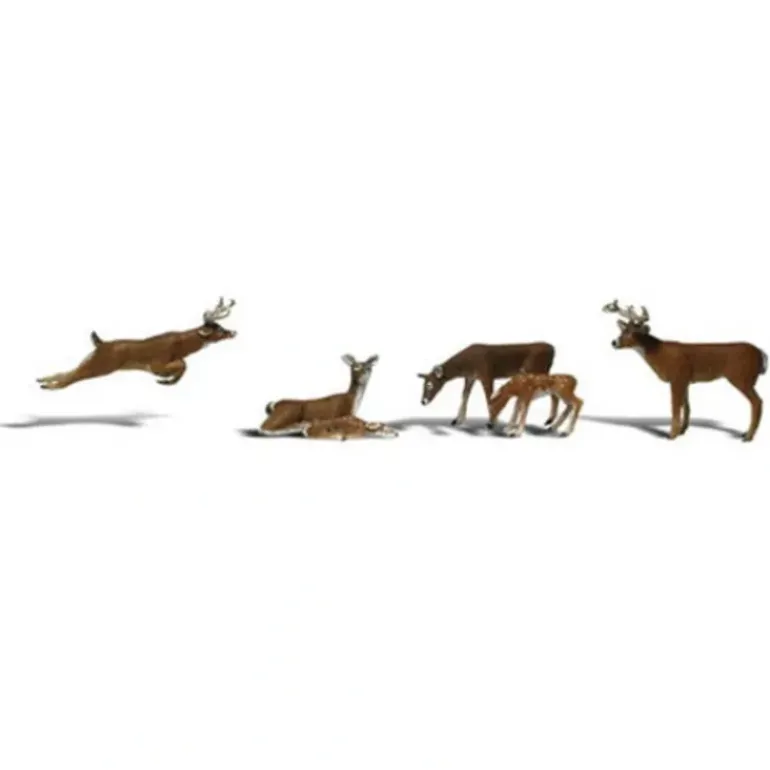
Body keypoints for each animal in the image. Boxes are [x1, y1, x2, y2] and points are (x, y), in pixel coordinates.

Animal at [37, 297, 237, 390]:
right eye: (219, 329)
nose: (233, 332)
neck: (182, 345)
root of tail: (100, 343)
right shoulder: (156, 363)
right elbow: (183, 365)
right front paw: (165, 380)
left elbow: (183, 365)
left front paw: (167, 381)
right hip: (102, 365)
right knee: (71, 378)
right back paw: (48, 386)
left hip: (92, 361)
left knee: (68, 372)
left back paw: (42, 380)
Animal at [417, 342, 557, 430]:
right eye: (423, 384)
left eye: (429, 385)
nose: (423, 401)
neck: (467, 364)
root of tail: (552, 349)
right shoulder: (470, 377)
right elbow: (465, 395)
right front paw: (457, 420)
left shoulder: (487, 375)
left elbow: (489, 397)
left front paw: (491, 422)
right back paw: (549, 421)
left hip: (538, 370)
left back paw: (550, 420)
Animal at [602, 299, 767, 441]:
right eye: (623, 331)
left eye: (634, 333)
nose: (614, 342)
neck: (658, 353)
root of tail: (762, 353)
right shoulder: (685, 379)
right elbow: (686, 406)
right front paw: (682, 431)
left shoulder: (676, 377)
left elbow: (675, 406)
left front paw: (671, 435)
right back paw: (746, 433)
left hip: (742, 377)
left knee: (757, 402)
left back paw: (748, 436)